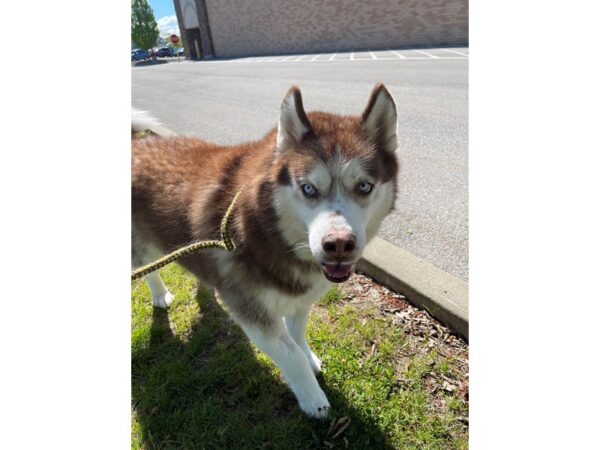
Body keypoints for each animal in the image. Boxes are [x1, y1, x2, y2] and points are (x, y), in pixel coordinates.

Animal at [131, 85, 398, 418]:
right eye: (308, 188)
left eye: (364, 186)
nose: (338, 244)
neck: (272, 236)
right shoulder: (251, 311)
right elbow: (289, 354)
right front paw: (313, 398)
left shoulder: (300, 300)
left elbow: (296, 336)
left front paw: (308, 359)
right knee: (148, 268)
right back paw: (159, 294)